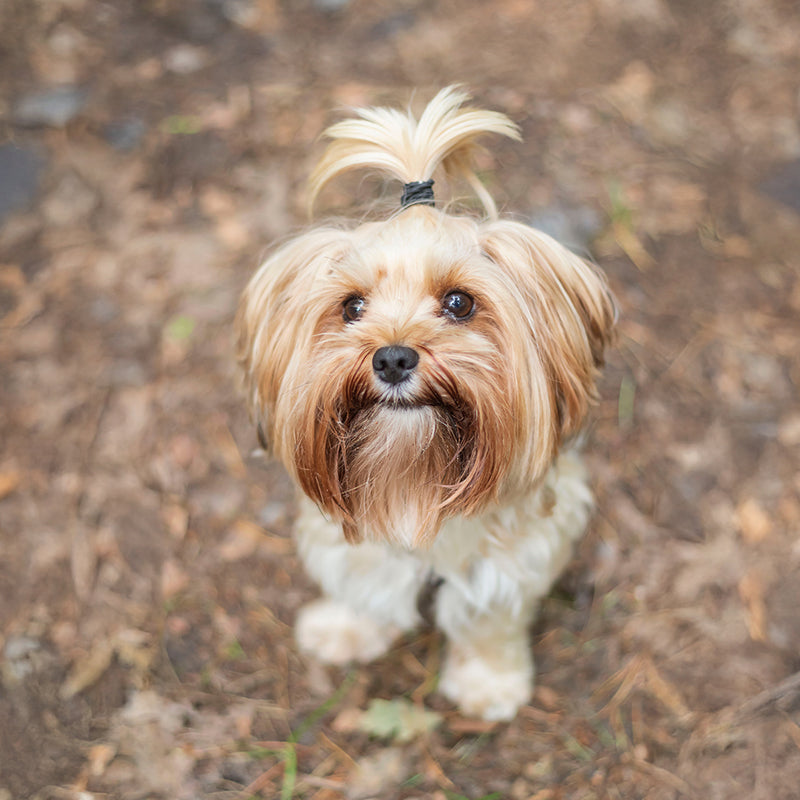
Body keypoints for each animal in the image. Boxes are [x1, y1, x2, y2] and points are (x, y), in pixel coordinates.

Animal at [234, 86, 616, 720]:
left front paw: (490, 683)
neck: (411, 475)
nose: (392, 358)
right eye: (352, 307)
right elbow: (362, 583)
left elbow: (490, 619)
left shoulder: (515, 555)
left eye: (459, 303)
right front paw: (344, 629)